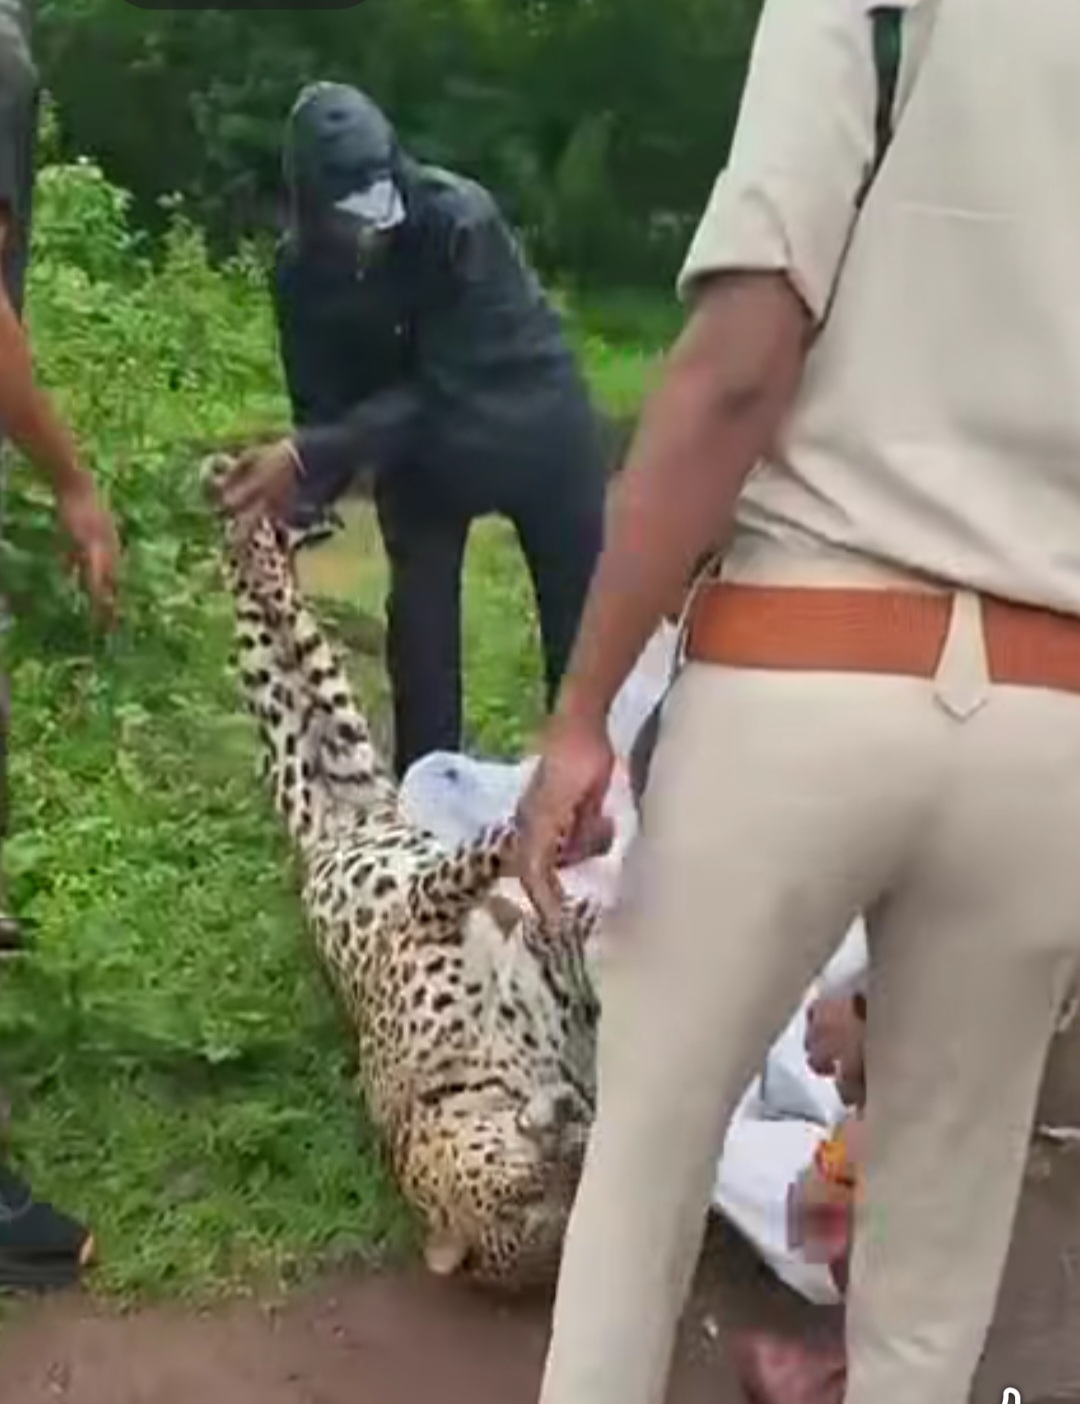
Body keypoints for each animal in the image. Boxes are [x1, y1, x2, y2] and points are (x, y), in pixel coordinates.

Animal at [199, 454, 602, 1289]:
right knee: (271, 651)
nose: (566, 1125)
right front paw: (533, 845)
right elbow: (480, 862)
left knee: (287, 637)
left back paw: (258, 509)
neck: (479, 1075)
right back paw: (247, 510)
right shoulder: (425, 910)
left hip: (342, 733)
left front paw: (560, 907)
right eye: (528, 1189)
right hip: (302, 764)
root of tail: (331, 830)